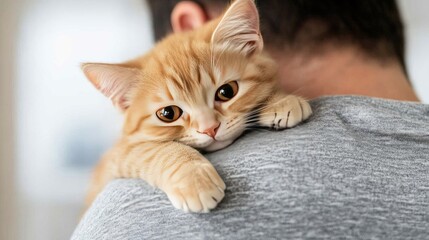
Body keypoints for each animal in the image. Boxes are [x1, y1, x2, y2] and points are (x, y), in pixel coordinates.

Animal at [82, 0, 310, 214]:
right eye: (168, 113)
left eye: (227, 91)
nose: (210, 128)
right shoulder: (119, 155)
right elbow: (159, 150)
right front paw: (194, 179)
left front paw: (280, 100)